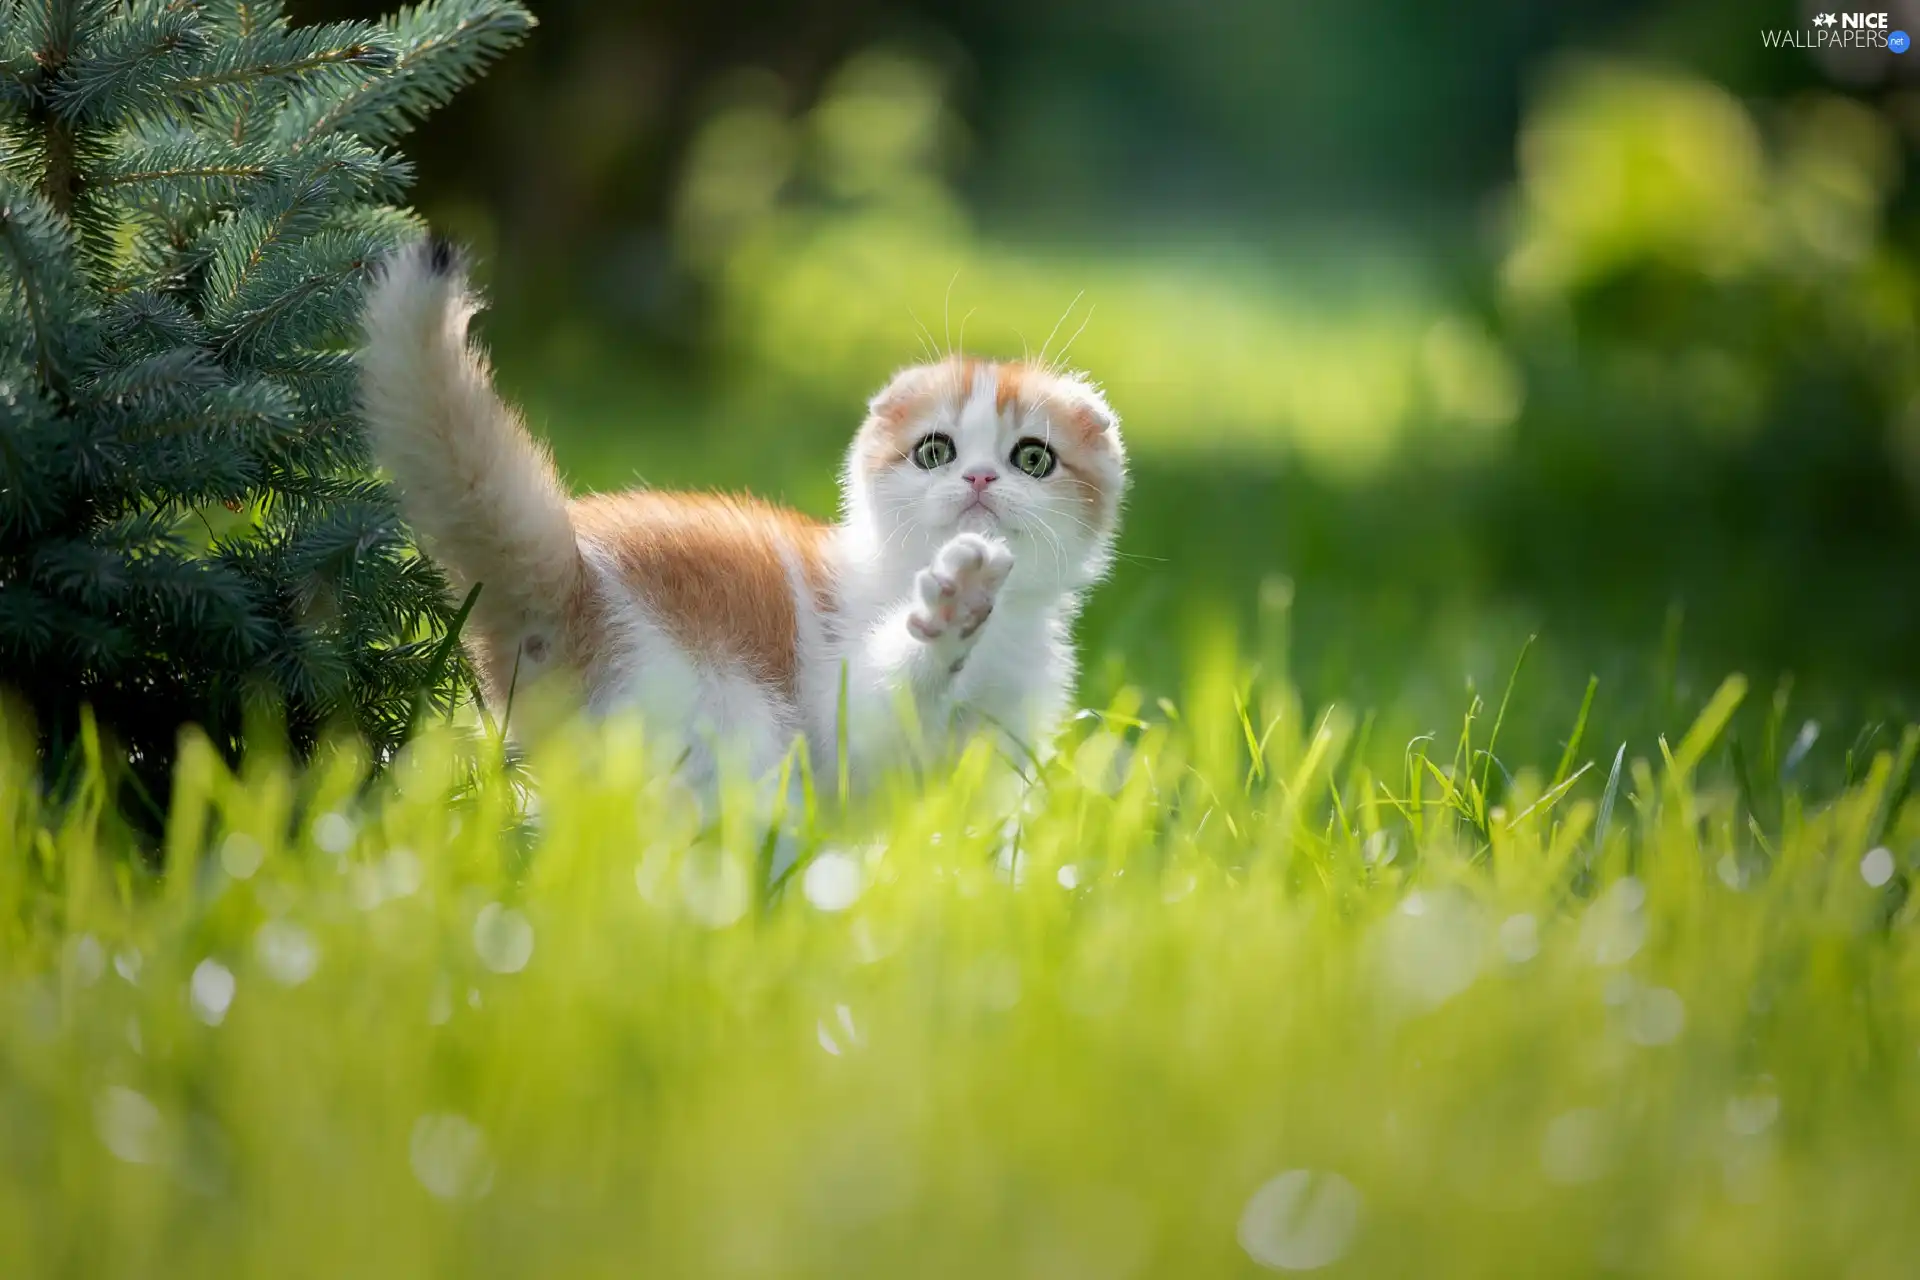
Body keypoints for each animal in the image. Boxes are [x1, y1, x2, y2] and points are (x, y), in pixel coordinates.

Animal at [360, 239, 1121, 802]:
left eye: (1033, 457)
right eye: (936, 451)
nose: (980, 478)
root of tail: (571, 578)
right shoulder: (849, 709)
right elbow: (884, 707)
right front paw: (955, 609)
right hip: (715, 715)